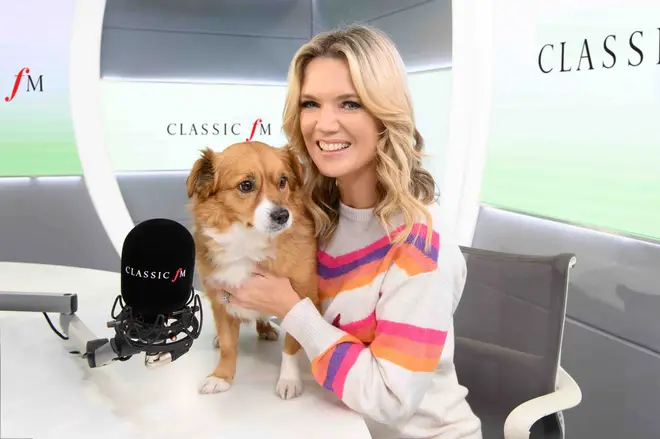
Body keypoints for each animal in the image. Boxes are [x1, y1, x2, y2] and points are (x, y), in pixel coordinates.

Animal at [186, 142, 320, 402]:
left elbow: (291, 345)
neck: (248, 240)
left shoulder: (300, 296)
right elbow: (229, 346)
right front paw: (222, 376)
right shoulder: (220, 298)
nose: (282, 215)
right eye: (246, 185)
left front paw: (289, 380)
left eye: (283, 181)